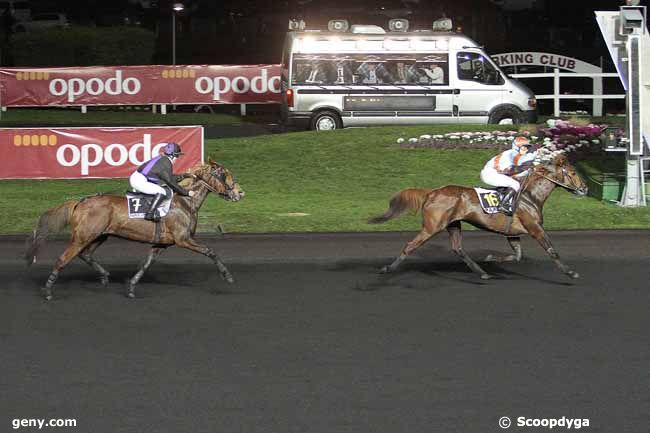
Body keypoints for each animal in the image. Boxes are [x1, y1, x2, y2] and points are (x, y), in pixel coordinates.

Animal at [368, 154, 584, 278]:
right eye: (573, 172)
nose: (585, 189)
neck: (530, 196)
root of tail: (432, 192)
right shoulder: (535, 228)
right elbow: (551, 250)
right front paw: (570, 272)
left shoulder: (512, 233)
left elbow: (517, 256)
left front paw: (490, 258)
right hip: (432, 226)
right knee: (410, 245)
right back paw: (387, 269)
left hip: (453, 224)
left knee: (458, 248)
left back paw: (482, 272)